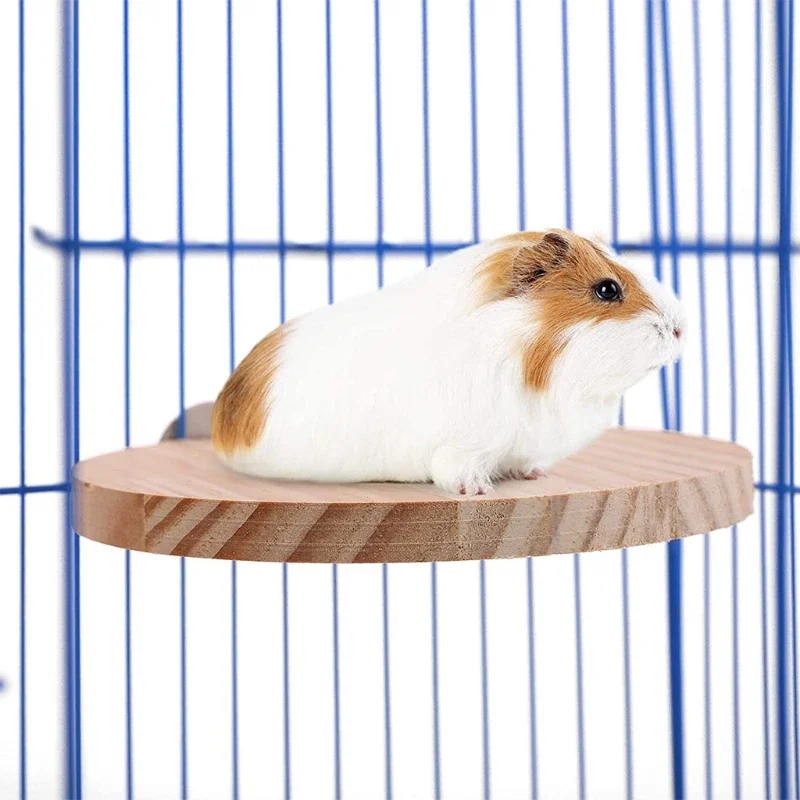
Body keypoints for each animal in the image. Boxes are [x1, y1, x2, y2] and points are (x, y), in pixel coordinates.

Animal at [165, 229, 685, 496]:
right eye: (607, 289)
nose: (681, 328)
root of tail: (223, 417)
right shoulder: (465, 445)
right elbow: (455, 470)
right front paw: (477, 491)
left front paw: (532, 475)